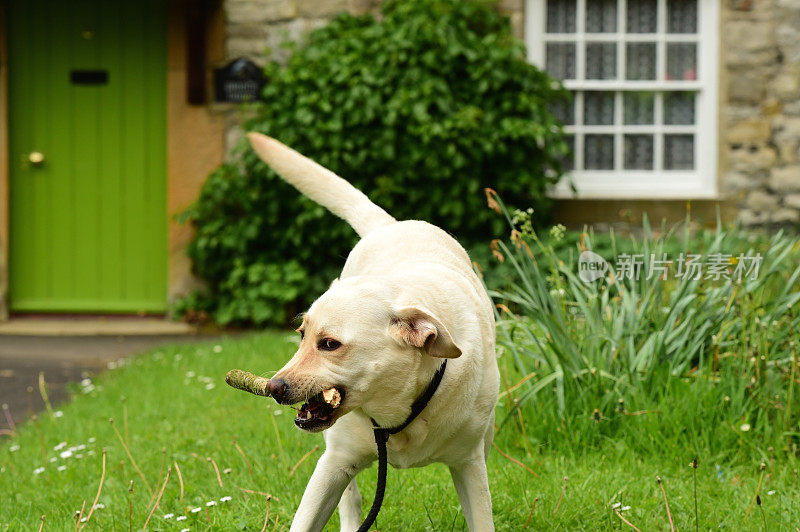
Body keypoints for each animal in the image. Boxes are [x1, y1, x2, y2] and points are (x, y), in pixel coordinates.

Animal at [250, 134, 500, 532]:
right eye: (302, 335)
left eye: (330, 344)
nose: (273, 388)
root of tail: (391, 224)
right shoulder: (335, 462)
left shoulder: (470, 466)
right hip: (335, 454)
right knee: (350, 497)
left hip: (485, 439)